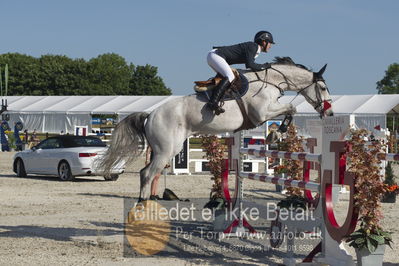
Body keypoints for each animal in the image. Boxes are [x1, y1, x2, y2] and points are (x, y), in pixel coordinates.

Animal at [101, 57, 334, 200]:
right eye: (323, 88)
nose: (330, 113)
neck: (271, 81)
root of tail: (150, 115)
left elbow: (290, 110)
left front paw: (275, 133)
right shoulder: (261, 114)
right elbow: (292, 108)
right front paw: (276, 133)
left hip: (166, 149)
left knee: (144, 172)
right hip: (166, 150)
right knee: (148, 174)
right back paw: (144, 206)